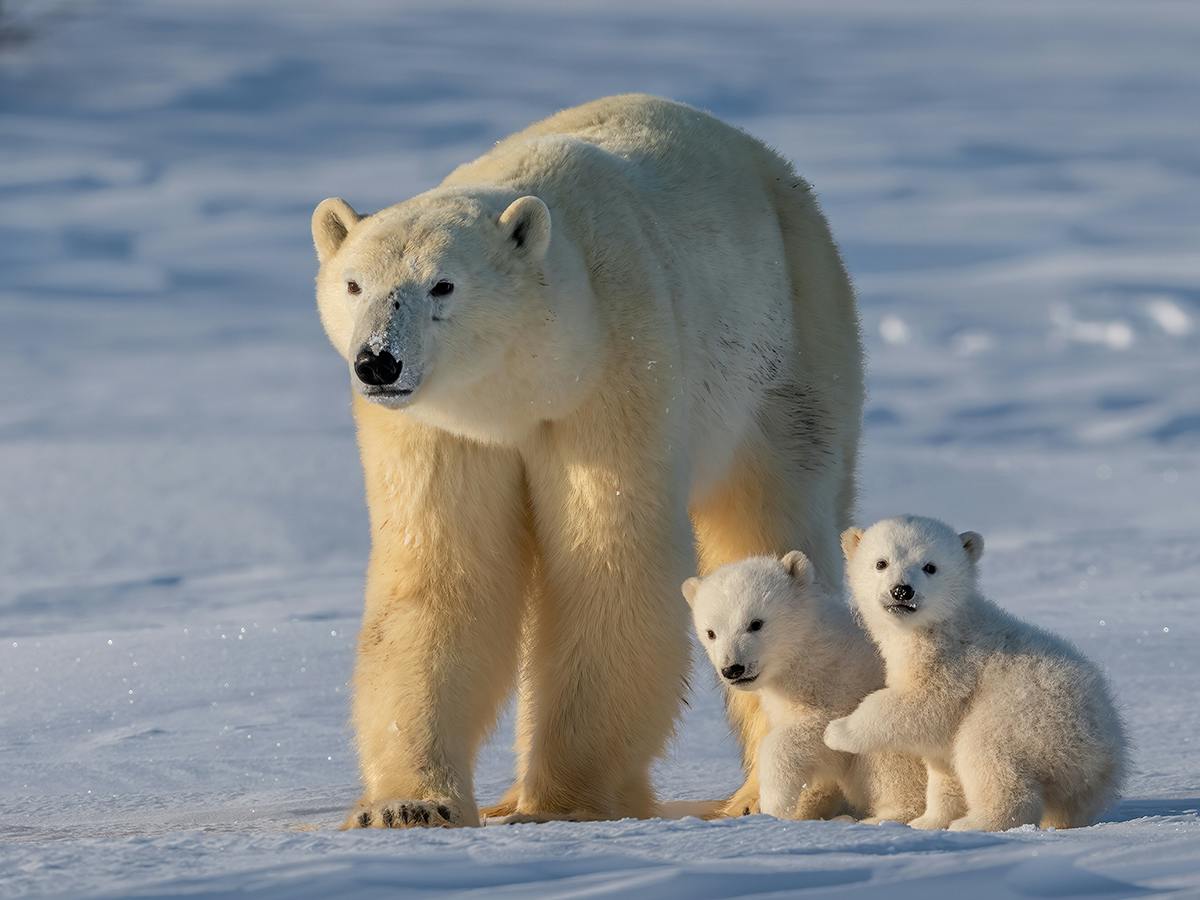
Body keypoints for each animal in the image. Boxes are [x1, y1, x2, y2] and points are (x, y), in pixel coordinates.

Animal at [310, 94, 864, 828]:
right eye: (353, 284)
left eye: (442, 285)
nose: (378, 360)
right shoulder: (441, 429)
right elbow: (441, 575)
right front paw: (408, 805)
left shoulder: (616, 373)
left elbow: (609, 564)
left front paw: (562, 803)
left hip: (792, 346)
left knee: (772, 516)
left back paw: (768, 795)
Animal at [683, 551, 925, 823]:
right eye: (711, 632)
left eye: (756, 623)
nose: (733, 669)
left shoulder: (843, 682)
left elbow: (818, 733)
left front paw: (775, 803)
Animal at [825, 516, 1127, 831]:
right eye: (881, 562)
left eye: (930, 566)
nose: (902, 591)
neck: (939, 626)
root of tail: (1104, 752)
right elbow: (942, 765)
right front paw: (927, 821)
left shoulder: (954, 665)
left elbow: (920, 705)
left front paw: (837, 731)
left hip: (1025, 717)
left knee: (985, 753)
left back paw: (976, 822)